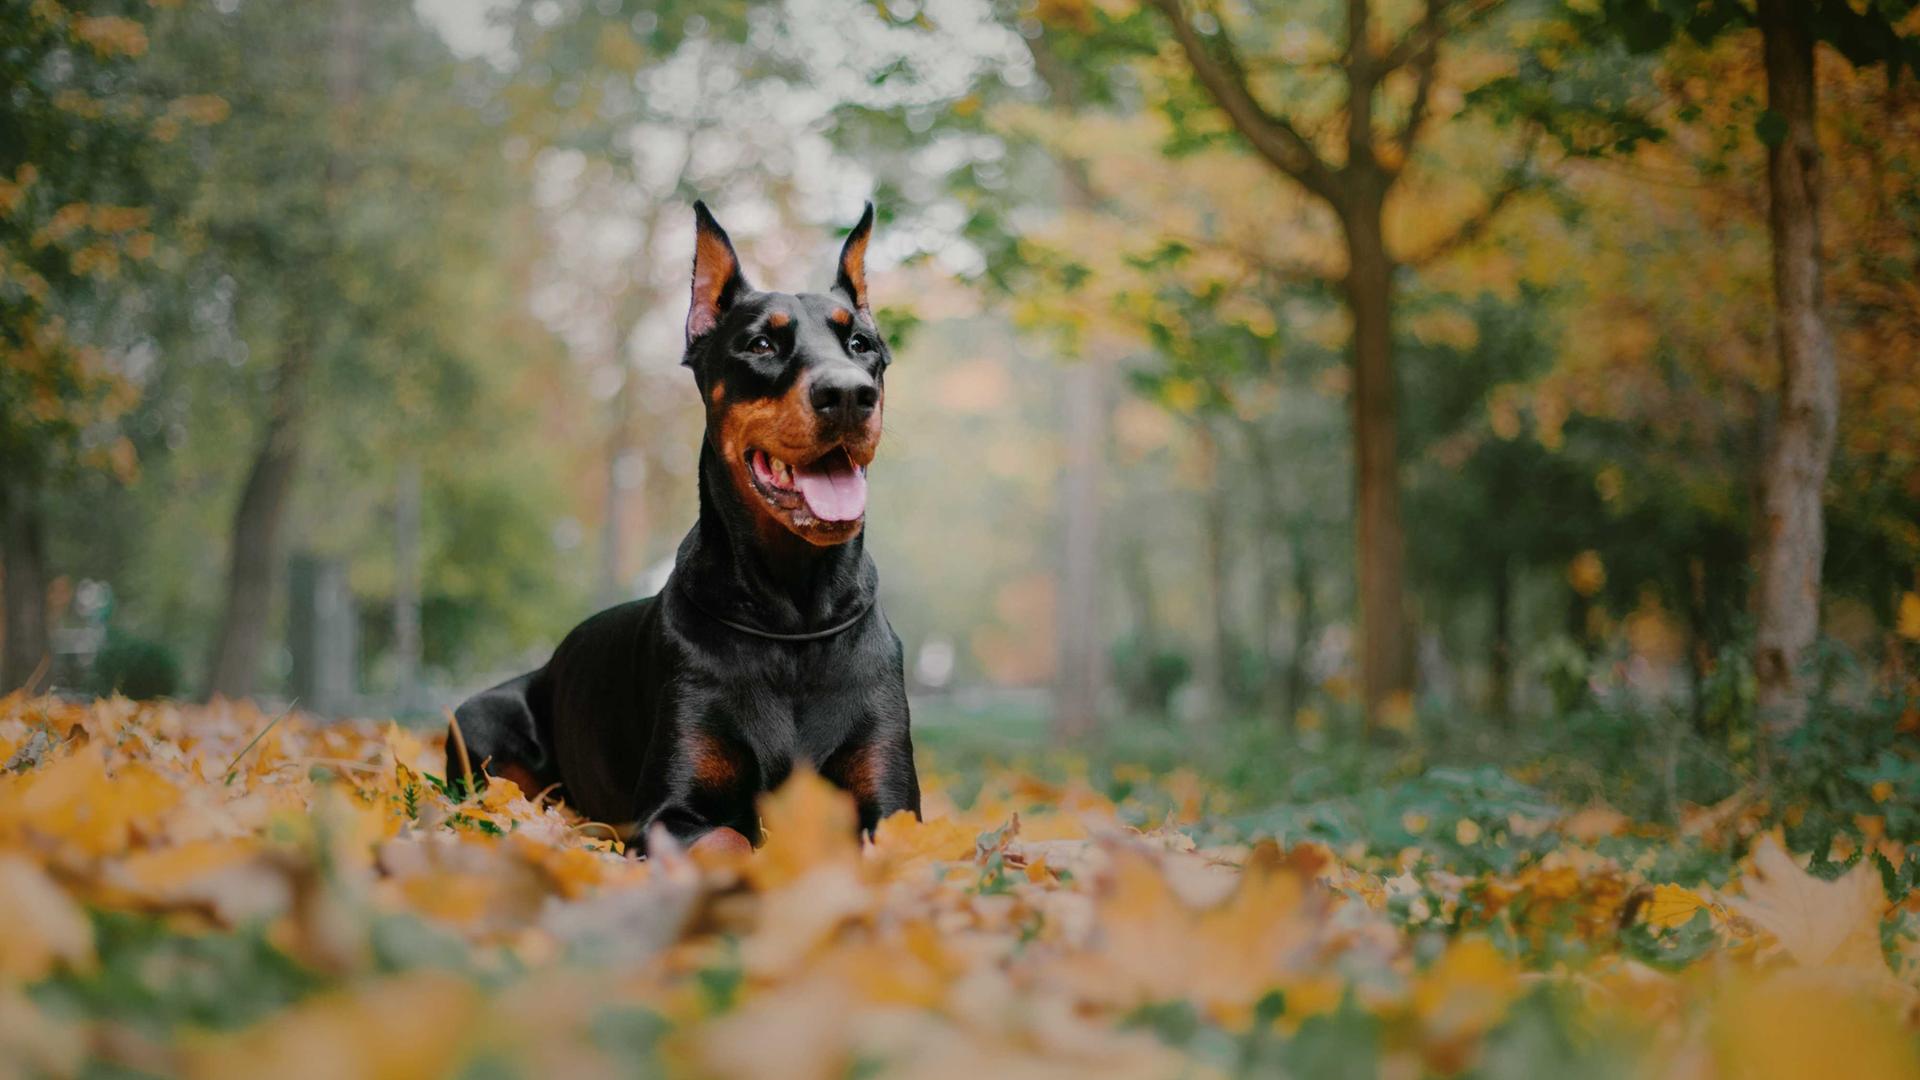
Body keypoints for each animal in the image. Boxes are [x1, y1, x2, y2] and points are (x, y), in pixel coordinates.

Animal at [453, 201, 925, 853]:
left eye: (861, 342)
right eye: (760, 343)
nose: (850, 394)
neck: (794, 619)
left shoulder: (894, 804)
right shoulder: (670, 811)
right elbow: (728, 841)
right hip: (476, 723)